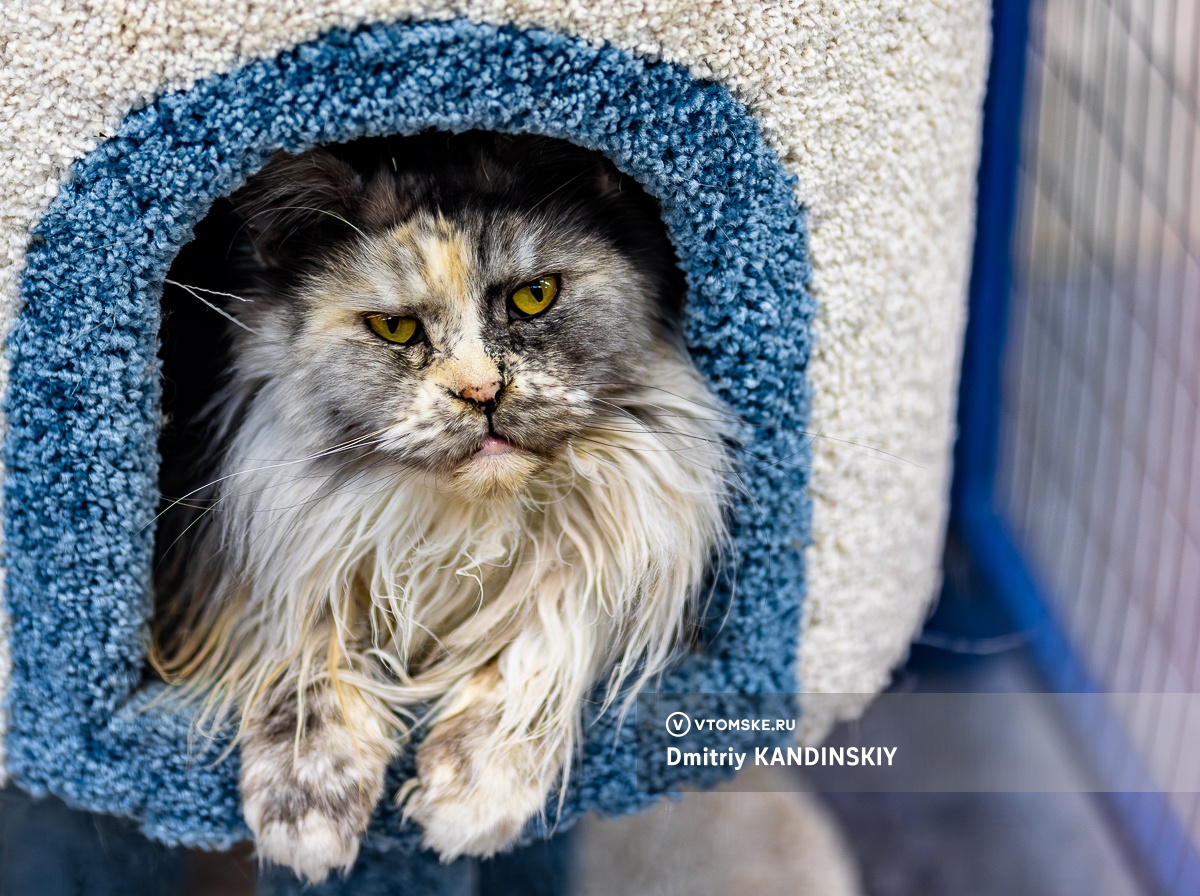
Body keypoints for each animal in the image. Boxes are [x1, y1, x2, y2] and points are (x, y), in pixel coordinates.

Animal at [150, 133, 729, 882]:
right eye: (395, 328)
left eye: (534, 296)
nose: (482, 393)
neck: (465, 528)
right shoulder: (266, 544)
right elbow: (304, 653)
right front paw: (306, 814)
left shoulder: (635, 536)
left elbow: (546, 634)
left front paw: (472, 798)